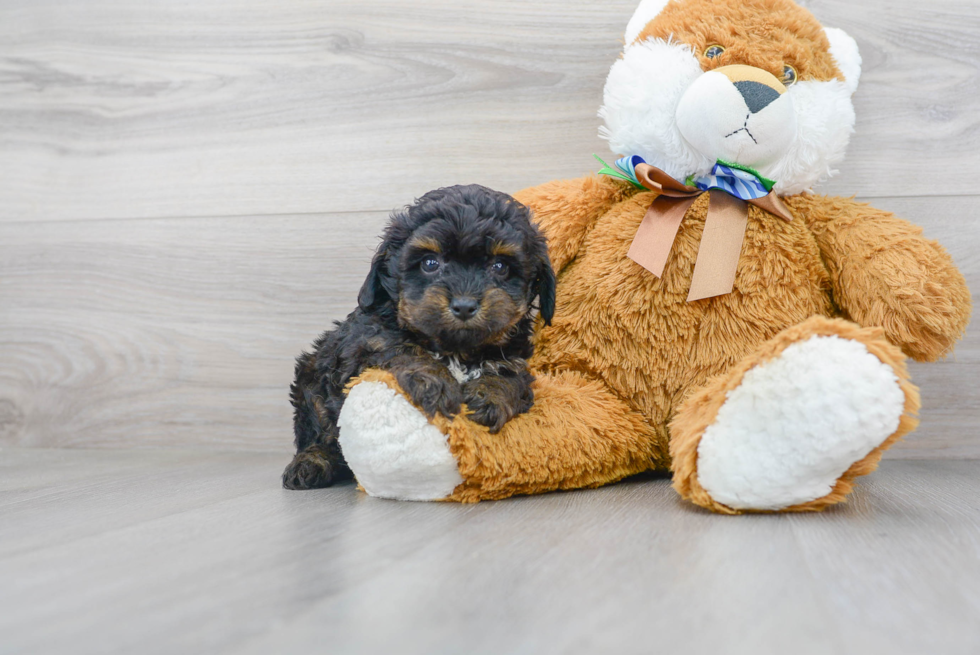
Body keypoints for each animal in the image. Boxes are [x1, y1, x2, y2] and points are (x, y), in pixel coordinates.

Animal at [286, 182, 560, 490]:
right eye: (430, 263)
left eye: (500, 267)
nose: (464, 305)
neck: (456, 349)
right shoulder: (360, 344)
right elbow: (398, 346)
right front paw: (435, 381)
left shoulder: (513, 357)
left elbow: (510, 375)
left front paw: (491, 394)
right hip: (311, 382)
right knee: (318, 433)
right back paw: (310, 463)